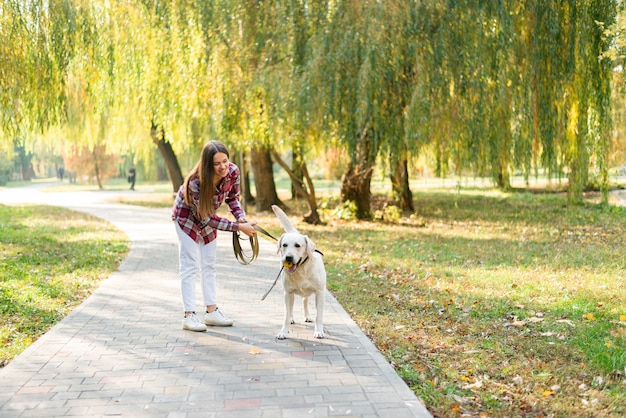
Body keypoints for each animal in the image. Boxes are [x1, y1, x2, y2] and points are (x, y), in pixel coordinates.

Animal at [270, 206, 326, 340]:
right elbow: (285, 315)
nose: (288, 258)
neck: (301, 270)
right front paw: (283, 332)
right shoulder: (288, 293)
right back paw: (291, 318)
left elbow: (319, 315)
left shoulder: (320, 292)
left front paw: (319, 331)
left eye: (297, 245)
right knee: (291, 308)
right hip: (288, 293)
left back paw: (307, 316)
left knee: (305, 300)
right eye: (284, 245)